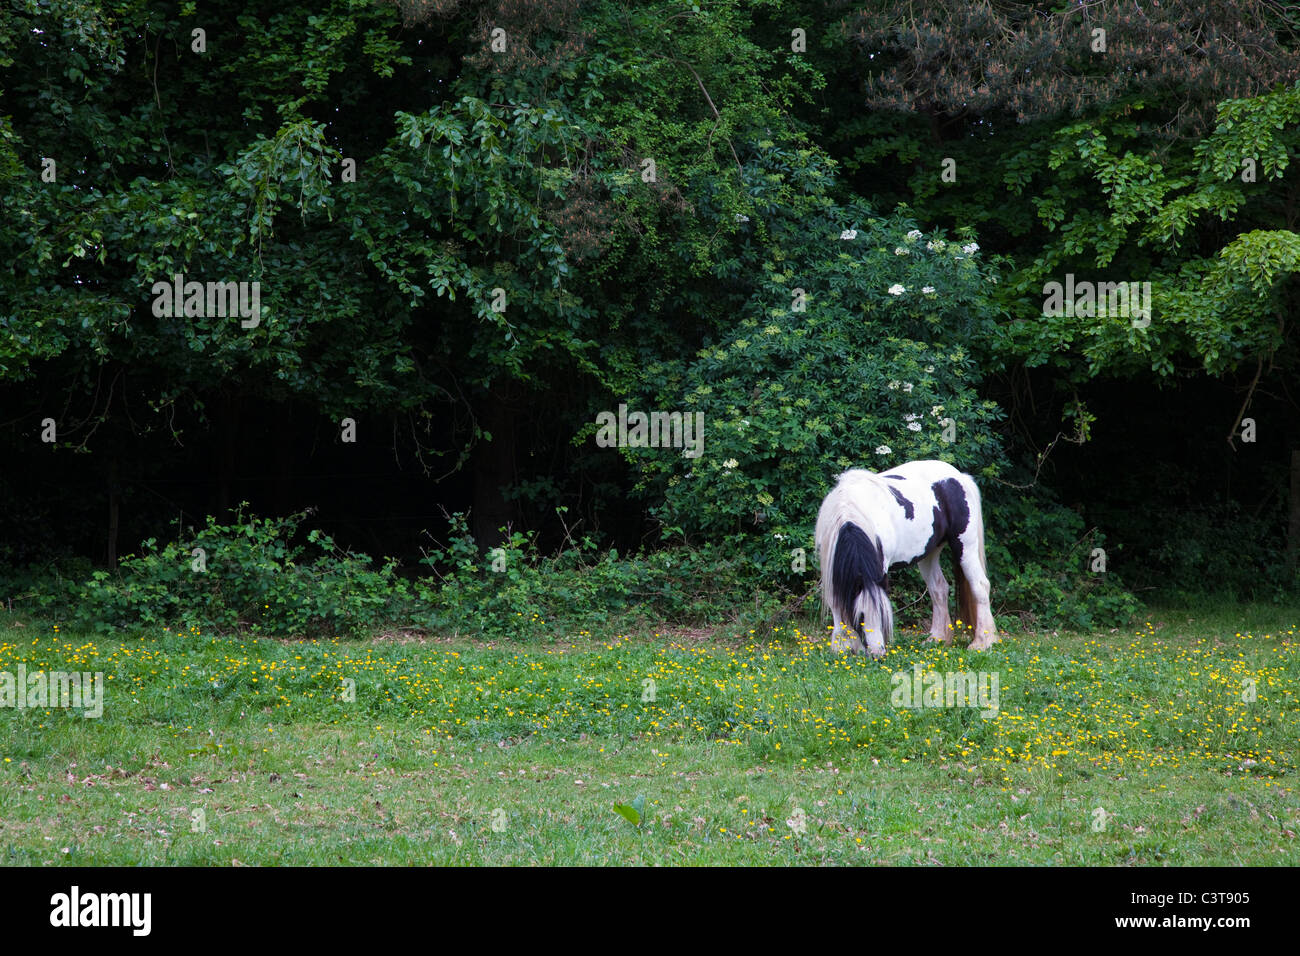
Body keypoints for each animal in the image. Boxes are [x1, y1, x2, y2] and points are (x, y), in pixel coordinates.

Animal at [814, 459, 997, 657]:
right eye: (860, 617)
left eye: (883, 614)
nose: (878, 654)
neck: (849, 513)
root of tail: (960, 477)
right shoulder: (832, 571)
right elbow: (837, 604)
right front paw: (842, 647)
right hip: (929, 554)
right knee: (939, 589)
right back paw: (938, 639)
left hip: (965, 545)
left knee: (980, 586)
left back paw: (983, 642)